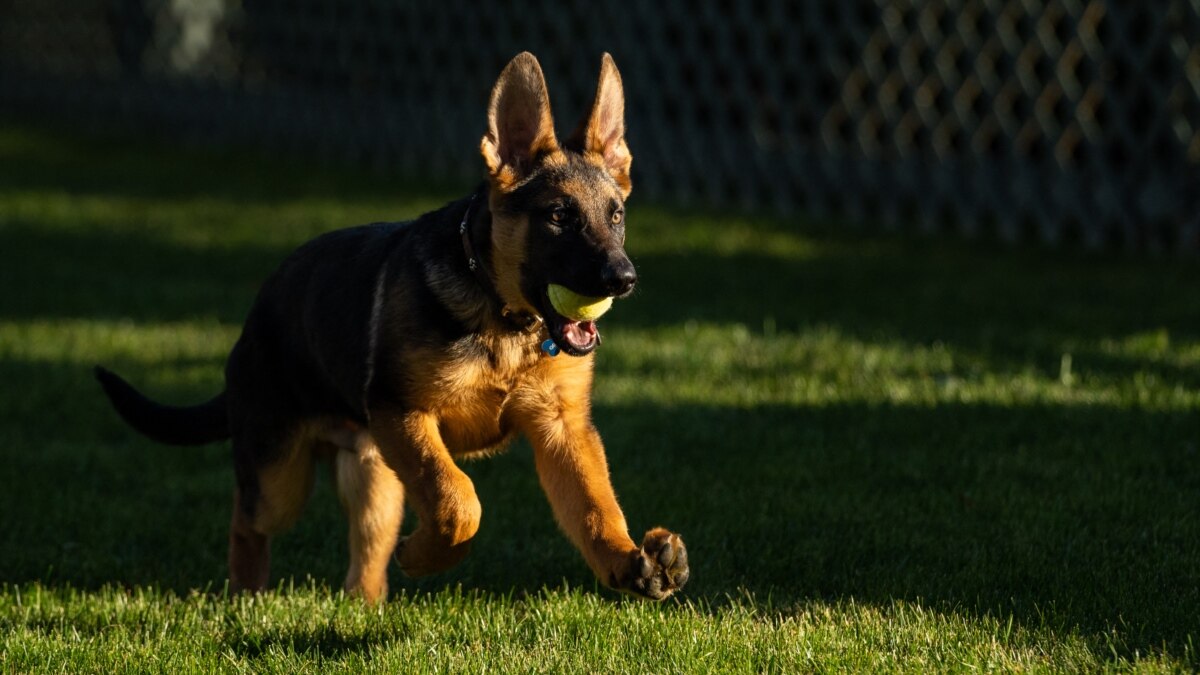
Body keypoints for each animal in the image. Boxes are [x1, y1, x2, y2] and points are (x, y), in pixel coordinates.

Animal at [93, 51, 691, 598]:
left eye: (616, 215)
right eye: (559, 217)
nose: (623, 278)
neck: (503, 319)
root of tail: (254, 319)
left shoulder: (562, 429)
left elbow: (595, 506)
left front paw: (629, 561)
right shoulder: (404, 412)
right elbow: (459, 498)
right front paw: (427, 556)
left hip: (375, 477)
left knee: (365, 555)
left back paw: (366, 605)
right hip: (281, 473)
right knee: (247, 519)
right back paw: (246, 594)